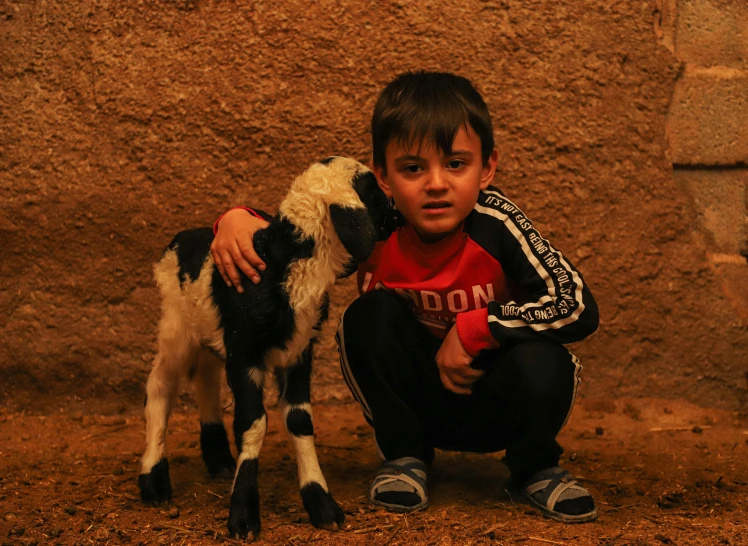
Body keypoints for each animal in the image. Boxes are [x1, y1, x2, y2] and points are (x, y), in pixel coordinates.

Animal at [137, 157, 388, 540]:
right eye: (373, 192)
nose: (396, 213)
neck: (286, 261)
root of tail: (181, 238)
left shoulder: (299, 351)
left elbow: (299, 420)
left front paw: (321, 504)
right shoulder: (245, 354)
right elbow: (252, 422)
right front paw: (243, 516)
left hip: (210, 333)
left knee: (206, 379)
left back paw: (220, 460)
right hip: (176, 326)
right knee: (160, 386)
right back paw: (154, 480)